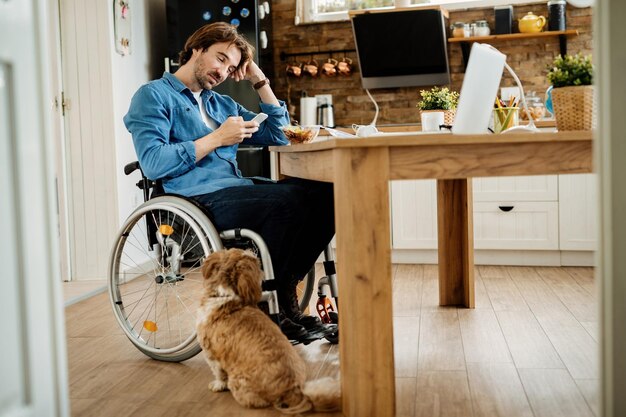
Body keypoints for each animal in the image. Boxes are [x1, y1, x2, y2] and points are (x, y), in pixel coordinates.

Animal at [196, 247, 338, 412]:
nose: (251, 249)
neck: (226, 295)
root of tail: (292, 390)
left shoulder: (211, 353)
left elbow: (219, 373)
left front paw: (218, 385)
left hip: (238, 381)